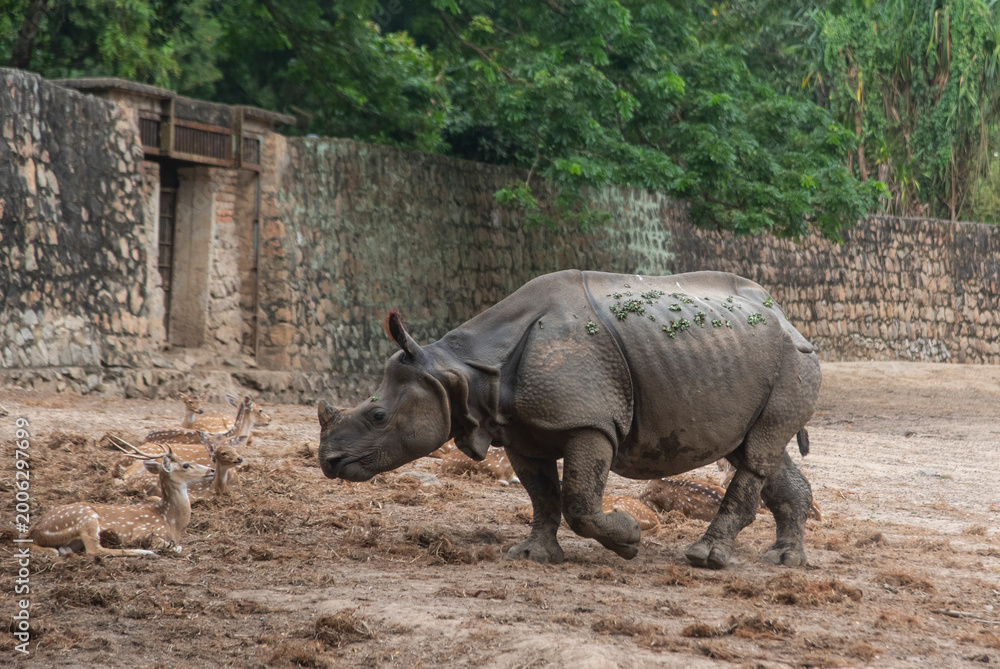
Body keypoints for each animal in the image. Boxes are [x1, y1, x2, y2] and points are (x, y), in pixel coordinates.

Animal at [318, 270, 821, 569]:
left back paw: (705, 558)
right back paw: (784, 561)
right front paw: (532, 555)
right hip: (750, 358)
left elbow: (579, 500)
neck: (459, 371)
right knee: (755, 450)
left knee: (756, 453)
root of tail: (785, 316)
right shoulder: (517, 429)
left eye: (378, 415)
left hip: (794, 359)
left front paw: (630, 540)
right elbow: (542, 496)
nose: (328, 462)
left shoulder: (589, 421)